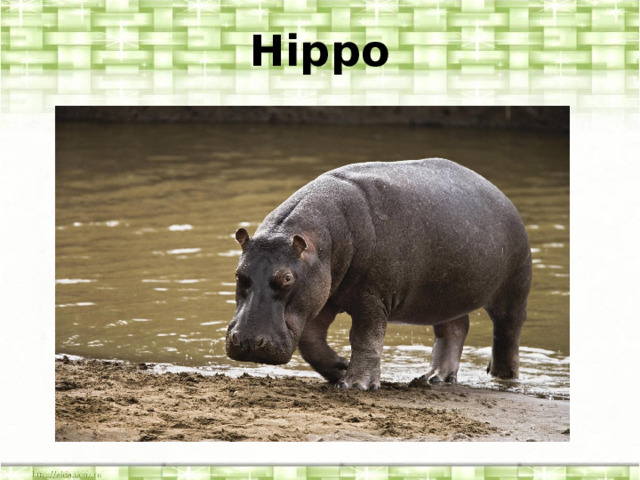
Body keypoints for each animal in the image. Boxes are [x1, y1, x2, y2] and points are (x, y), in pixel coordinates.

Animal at [226, 159, 532, 390]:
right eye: (239, 274)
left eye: (287, 278)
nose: (248, 342)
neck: (320, 242)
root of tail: (500, 194)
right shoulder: (323, 296)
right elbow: (311, 342)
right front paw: (340, 368)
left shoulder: (373, 297)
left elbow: (365, 338)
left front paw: (355, 384)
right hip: (446, 295)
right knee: (454, 329)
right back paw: (435, 378)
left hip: (513, 289)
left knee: (507, 334)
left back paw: (503, 377)